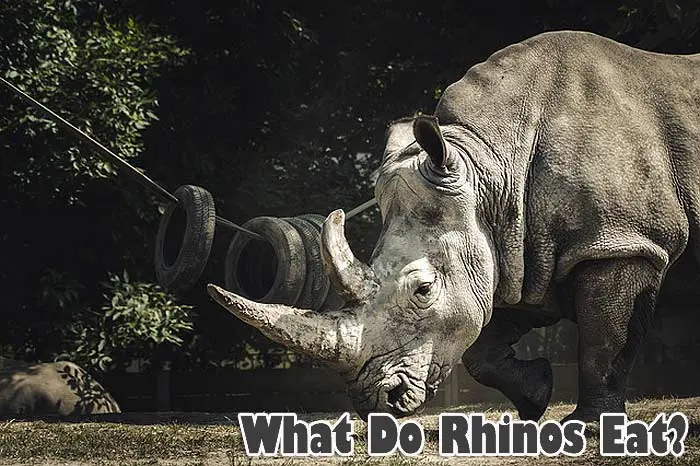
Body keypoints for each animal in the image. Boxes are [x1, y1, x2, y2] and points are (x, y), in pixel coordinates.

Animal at [208, 30, 700, 422]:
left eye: (423, 290)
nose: (376, 403)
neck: (493, 166)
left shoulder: (621, 243)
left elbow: (604, 344)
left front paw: (590, 426)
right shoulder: (523, 251)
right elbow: (482, 347)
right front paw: (536, 395)